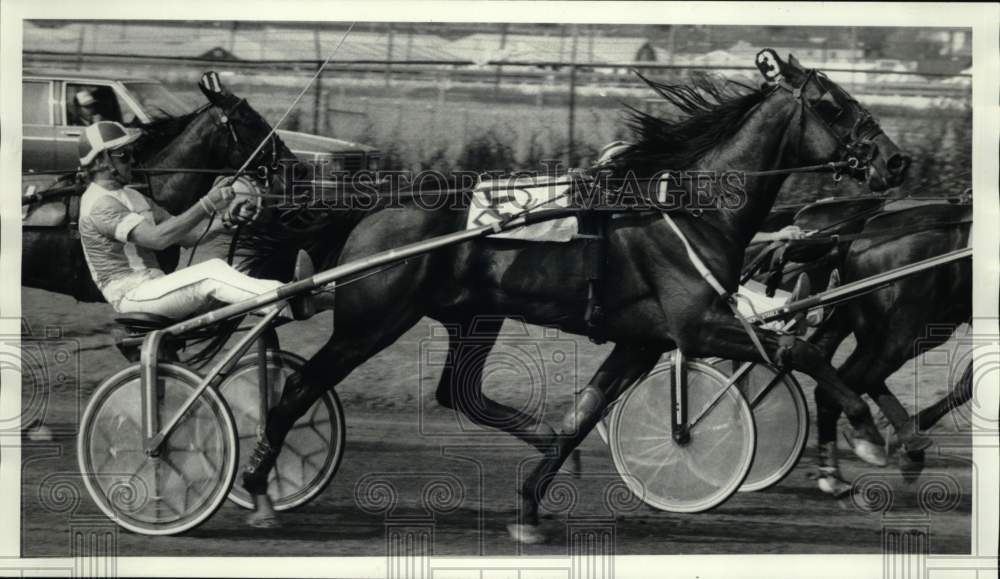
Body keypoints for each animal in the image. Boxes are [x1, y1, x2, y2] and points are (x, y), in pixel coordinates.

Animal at [240, 51, 916, 544]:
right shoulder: (696, 326)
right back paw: (259, 487)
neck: (688, 208)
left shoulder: (641, 342)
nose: (895, 160)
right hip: (373, 322)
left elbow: (580, 417)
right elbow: (802, 353)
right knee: (300, 387)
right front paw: (866, 432)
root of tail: (378, 204)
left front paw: (529, 508)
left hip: (473, 317)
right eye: (832, 105)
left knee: (459, 393)